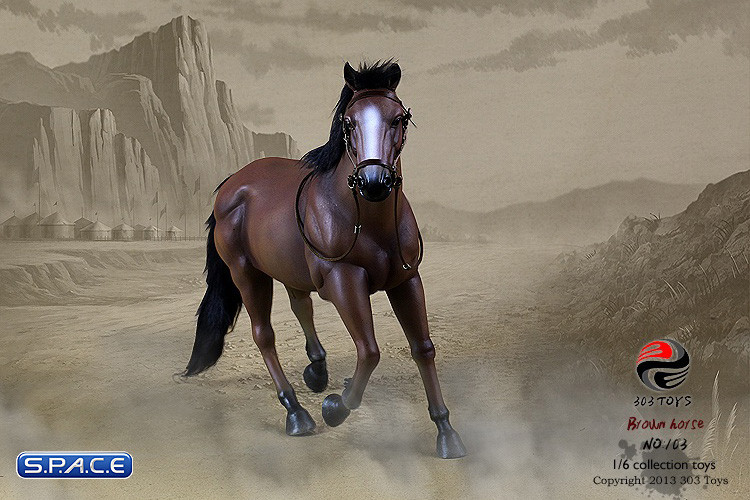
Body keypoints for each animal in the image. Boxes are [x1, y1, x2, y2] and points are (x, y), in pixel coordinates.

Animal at [183, 60, 466, 459]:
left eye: (399, 119)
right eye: (348, 122)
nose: (374, 182)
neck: (368, 220)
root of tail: (231, 184)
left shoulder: (406, 281)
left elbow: (423, 348)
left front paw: (446, 431)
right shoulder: (344, 282)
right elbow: (369, 351)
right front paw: (336, 407)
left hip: (287, 267)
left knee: (301, 304)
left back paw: (316, 371)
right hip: (246, 273)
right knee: (264, 334)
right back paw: (296, 412)